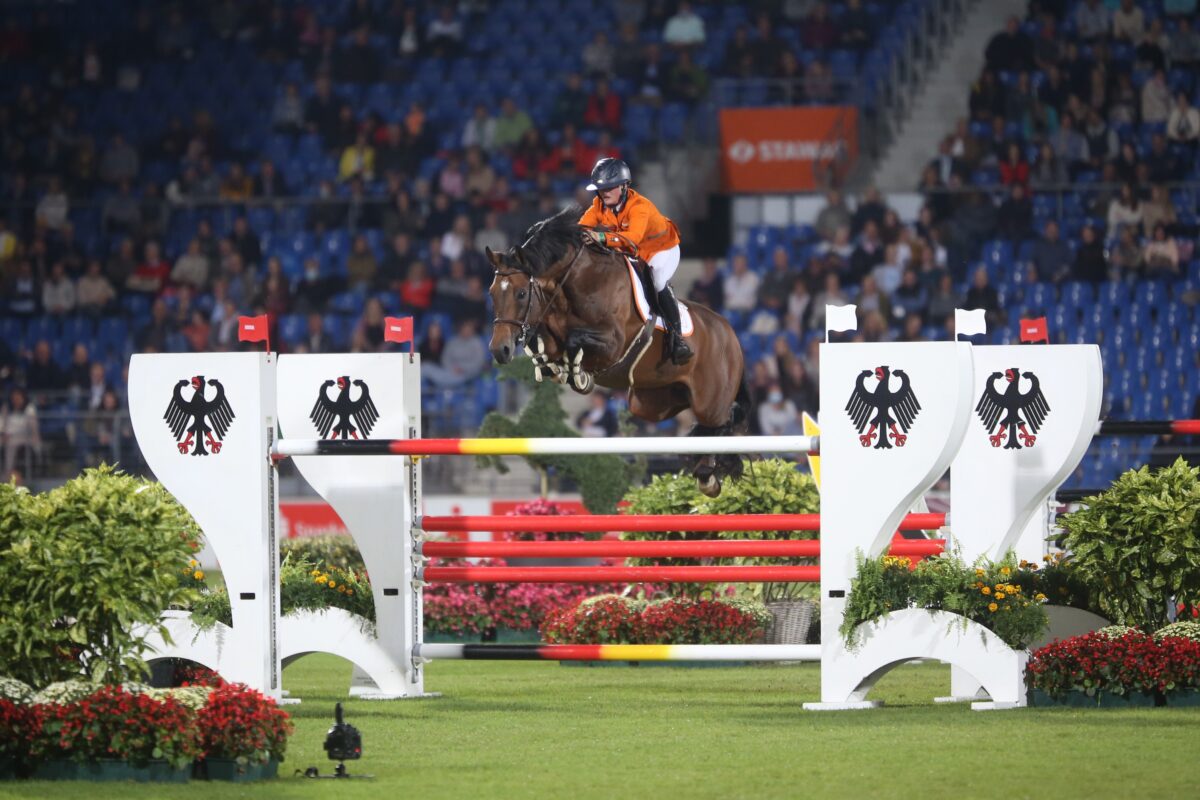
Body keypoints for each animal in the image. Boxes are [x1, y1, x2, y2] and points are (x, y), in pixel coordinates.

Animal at [486, 206, 747, 497]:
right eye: (492, 293)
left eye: (521, 294)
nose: (499, 350)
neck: (577, 282)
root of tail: (730, 332)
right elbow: (548, 346)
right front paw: (550, 363)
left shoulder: (613, 344)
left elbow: (575, 341)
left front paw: (580, 375)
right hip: (652, 403)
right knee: (701, 423)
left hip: (708, 400)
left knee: (721, 421)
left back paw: (708, 475)